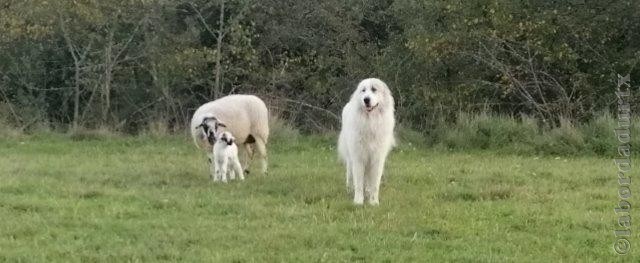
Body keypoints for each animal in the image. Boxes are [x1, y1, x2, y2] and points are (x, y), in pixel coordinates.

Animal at [340, 78, 396, 206]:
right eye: (363, 90)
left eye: (374, 89)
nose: (366, 99)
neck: (370, 122)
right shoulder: (358, 158)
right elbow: (358, 183)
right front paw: (358, 202)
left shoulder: (377, 159)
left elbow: (375, 184)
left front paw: (374, 202)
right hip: (350, 157)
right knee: (349, 173)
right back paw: (349, 189)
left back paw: (367, 191)